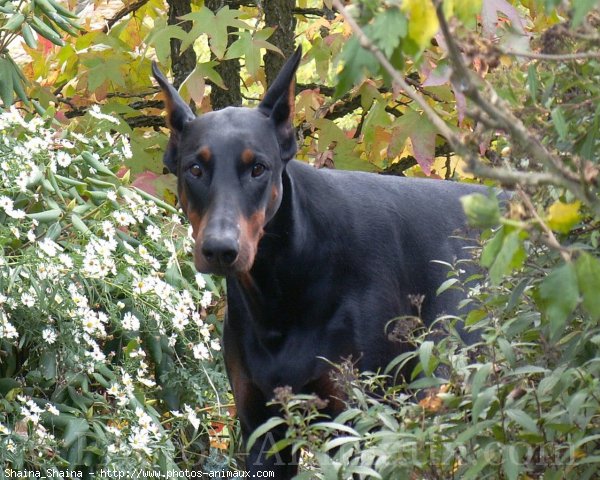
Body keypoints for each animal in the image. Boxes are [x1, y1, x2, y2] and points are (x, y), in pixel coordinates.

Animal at [152, 47, 486, 476]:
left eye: (258, 168)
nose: (220, 249)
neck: (282, 291)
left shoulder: (361, 423)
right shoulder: (261, 427)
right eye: (195, 168)